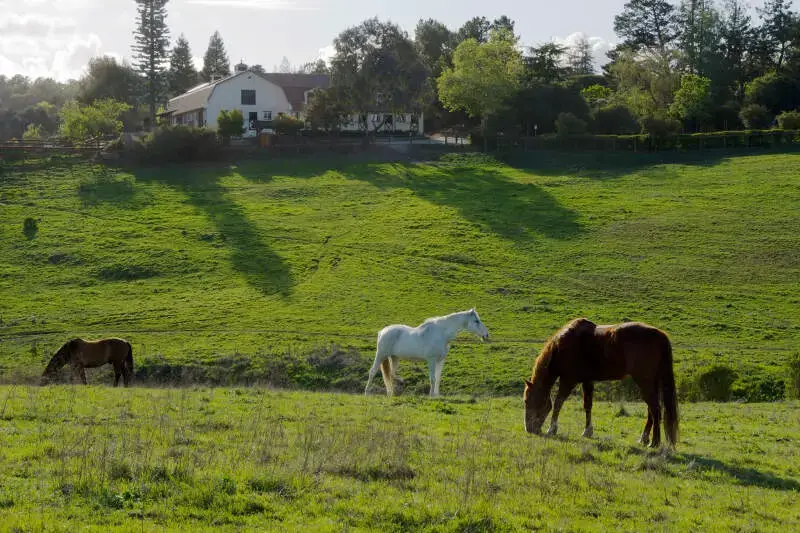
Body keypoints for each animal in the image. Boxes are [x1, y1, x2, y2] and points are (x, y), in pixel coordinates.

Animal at [520, 318, 680, 446]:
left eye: (527, 400)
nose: (529, 429)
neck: (560, 348)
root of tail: (660, 336)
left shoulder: (569, 380)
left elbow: (558, 403)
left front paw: (552, 429)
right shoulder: (587, 380)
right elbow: (588, 405)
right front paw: (587, 431)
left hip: (644, 381)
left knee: (655, 409)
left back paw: (654, 442)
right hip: (651, 383)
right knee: (651, 410)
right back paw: (644, 438)